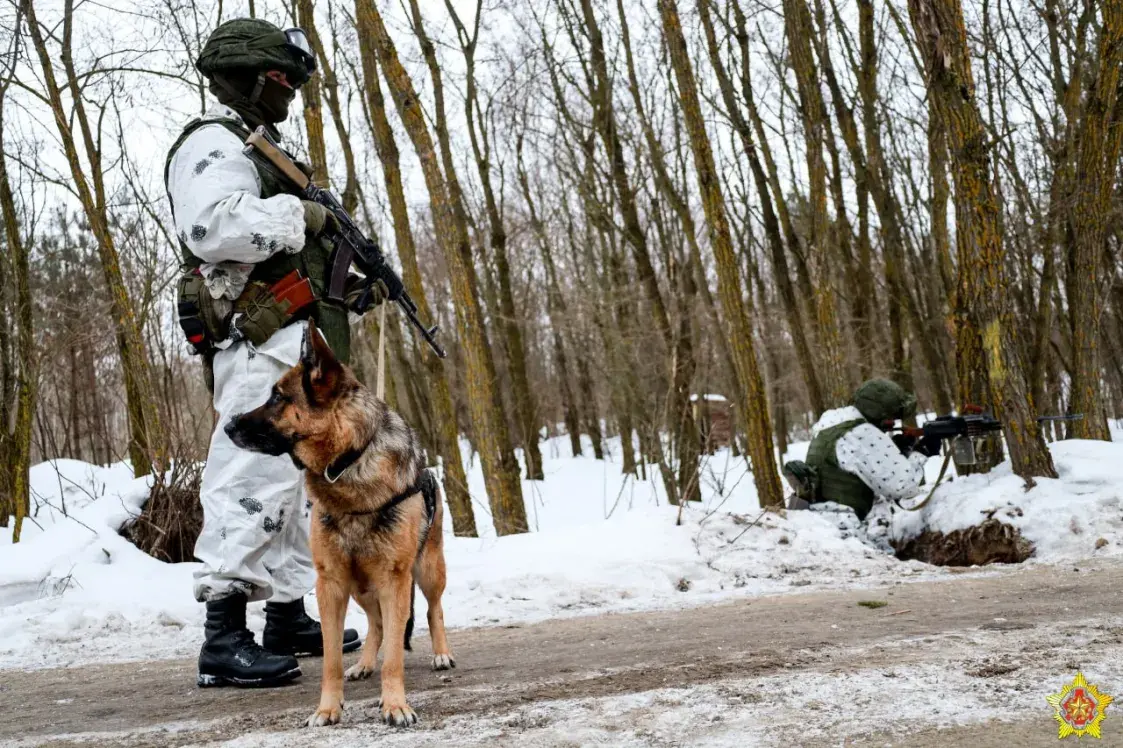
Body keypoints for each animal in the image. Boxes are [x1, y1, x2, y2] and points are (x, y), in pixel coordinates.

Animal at [225, 318, 453, 723]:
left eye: (277, 397)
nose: (228, 426)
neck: (348, 462)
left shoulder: (394, 580)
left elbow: (395, 656)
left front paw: (395, 704)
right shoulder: (330, 584)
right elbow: (331, 657)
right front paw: (328, 708)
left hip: (426, 570)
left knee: (433, 609)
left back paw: (441, 653)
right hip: (360, 586)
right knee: (377, 624)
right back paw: (364, 664)